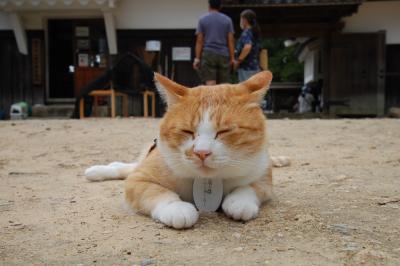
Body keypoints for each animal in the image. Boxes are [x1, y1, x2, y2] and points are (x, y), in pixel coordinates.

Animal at [84, 70, 288, 229]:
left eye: (224, 131)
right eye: (187, 131)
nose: (202, 152)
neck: (206, 179)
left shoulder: (263, 176)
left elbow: (250, 187)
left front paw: (239, 201)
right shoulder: (139, 180)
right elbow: (156, 191)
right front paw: (176, 208)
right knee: (130, 167)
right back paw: (99, 171)